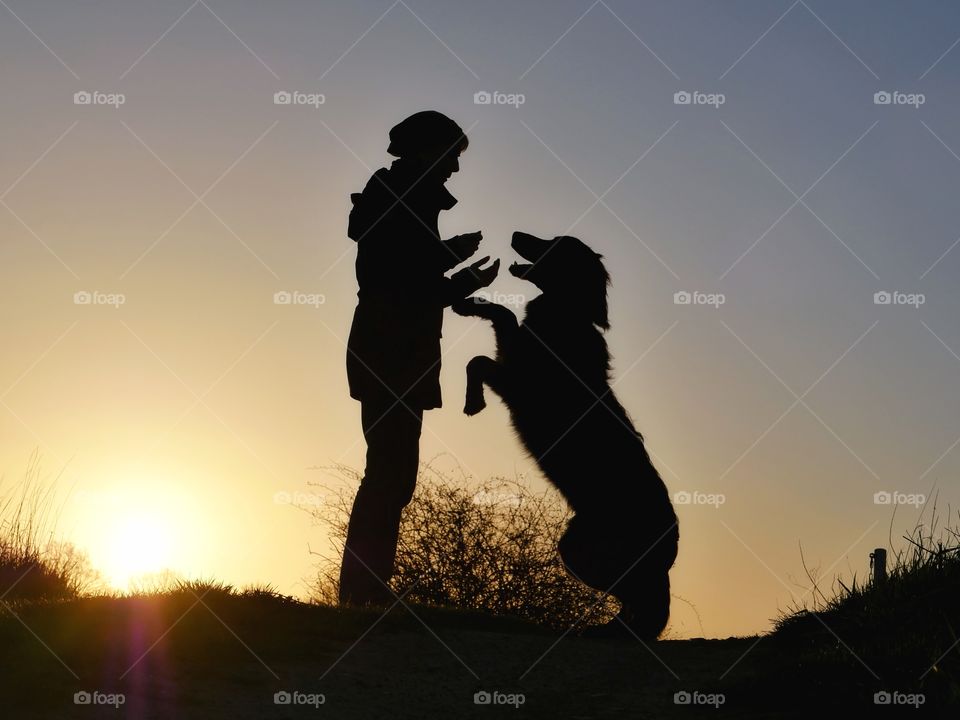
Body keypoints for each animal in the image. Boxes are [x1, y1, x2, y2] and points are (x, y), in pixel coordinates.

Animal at [454, 231, 680, 640]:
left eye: (556, 244)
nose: (517, 233)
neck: (565, 315)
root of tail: (670, 541)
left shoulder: (519, 385)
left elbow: (477, 361)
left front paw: (473, 401)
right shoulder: (512, 360)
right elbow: (504, 316)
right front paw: (469, 302)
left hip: (582, 552)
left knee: (638, 597)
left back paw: (613, 631)